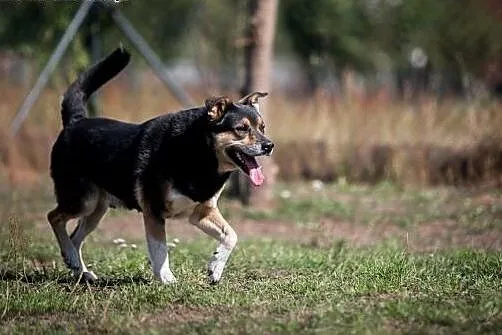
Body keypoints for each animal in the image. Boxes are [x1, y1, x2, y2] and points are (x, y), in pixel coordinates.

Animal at [47, 46, 274, 284]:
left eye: (262, 127)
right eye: (241, 129)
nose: (269, 146)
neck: (197, 152)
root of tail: (75, 121)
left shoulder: (202, 212)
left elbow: (231, 235)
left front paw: (215, 267)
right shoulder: (153, 211)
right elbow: (160, 250)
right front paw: (167, 279)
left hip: (95, 210)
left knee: (75, 237)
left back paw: (79, 269)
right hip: (83, 201)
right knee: (54, 217)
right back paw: (73, 259)